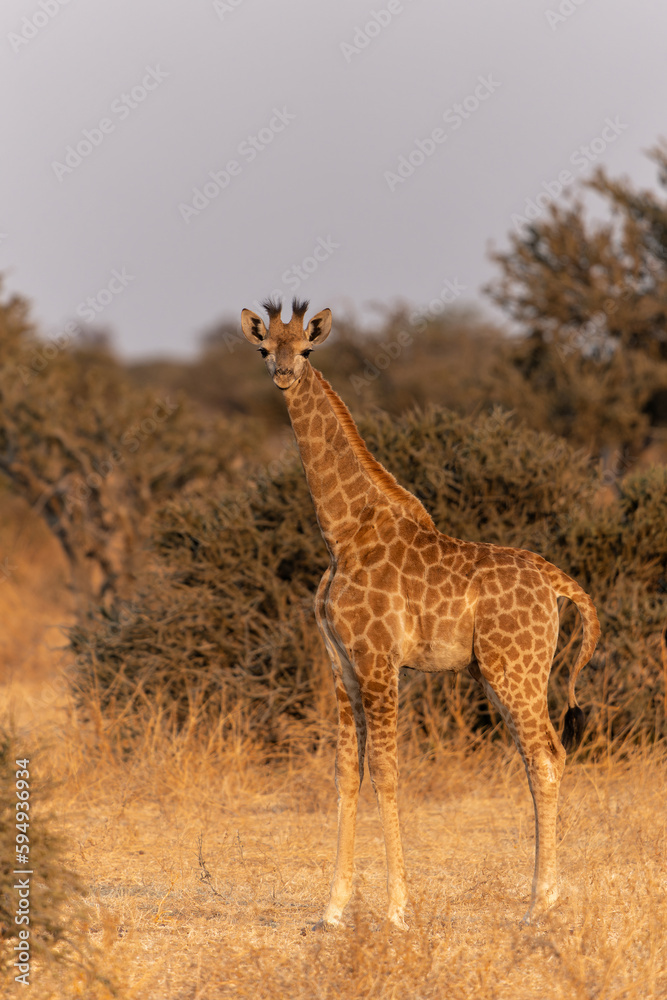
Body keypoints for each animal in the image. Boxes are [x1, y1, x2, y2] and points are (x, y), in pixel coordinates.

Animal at [240, 297, 601, 929]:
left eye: (305, 349)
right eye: (265, 348)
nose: (283, 374)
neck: (343, 534)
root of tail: (560, 585)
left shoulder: (379, 660)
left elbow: (387, 772)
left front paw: (397, 909)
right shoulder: (341, 664)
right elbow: (347, 773)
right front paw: (333, 910)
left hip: (515, 670)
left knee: (546, 757)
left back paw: (540, 904)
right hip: (499, 675)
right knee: (539, 758)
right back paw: (541, 897)